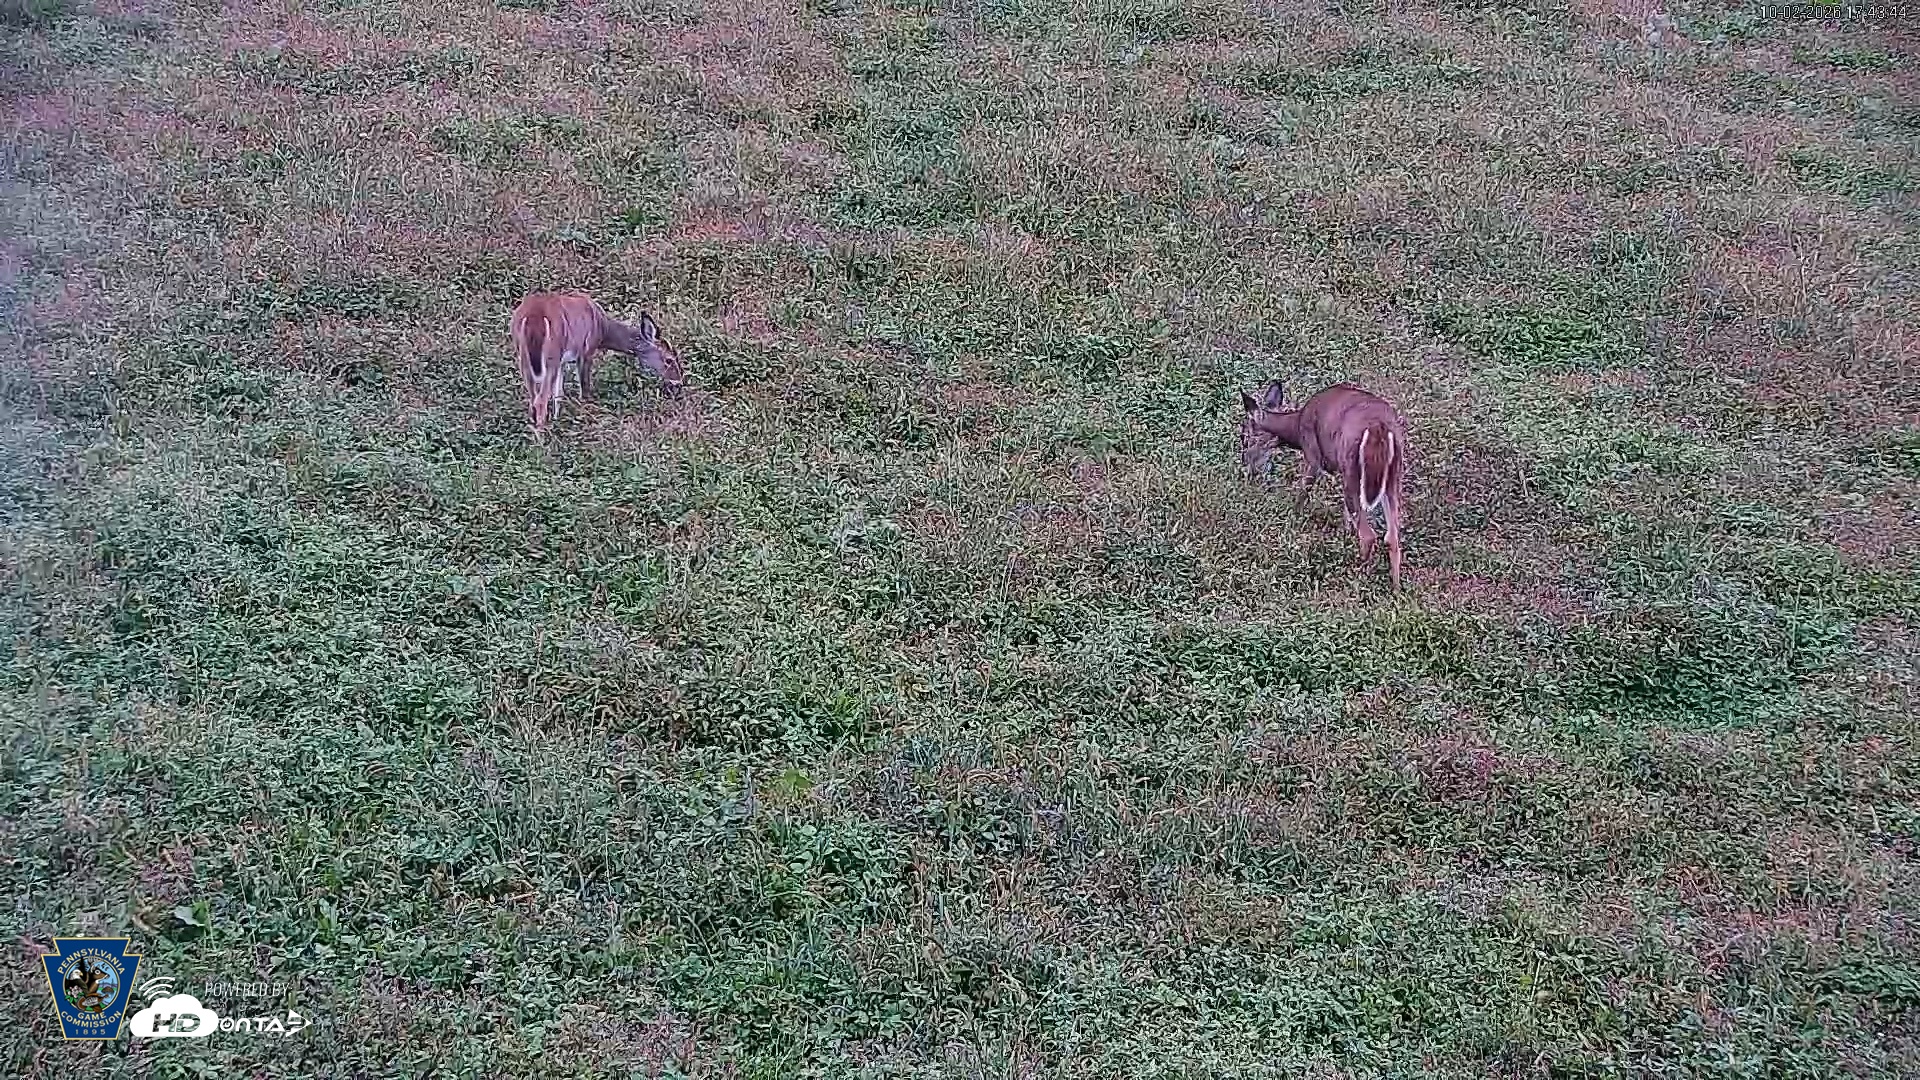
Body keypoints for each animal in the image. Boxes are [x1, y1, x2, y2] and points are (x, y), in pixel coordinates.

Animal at [509, 291, 686, 431]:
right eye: (669, 359)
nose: (678, 381)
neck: (603, 327)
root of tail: (532, 319)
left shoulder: (563, 362)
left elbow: (558, 394)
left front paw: (556, 420)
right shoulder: (586, 351)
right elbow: (584, 391)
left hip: (524, 356)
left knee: (533, 398)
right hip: (551, 354)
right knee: (540, 400)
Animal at [1238, 379, 1409, 589]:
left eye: (1244, 437)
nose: (1247, 469)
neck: (1297, 425)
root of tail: (1379, 429)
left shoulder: (1313, 455)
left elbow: (1304, 490)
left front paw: (1293, 518)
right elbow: (1346, 514)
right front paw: (1345, 533)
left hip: (1351, 467)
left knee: (1368, 535)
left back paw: (1360, 574)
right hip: (1392, 474)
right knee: (1392, 536)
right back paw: (1395, 588)